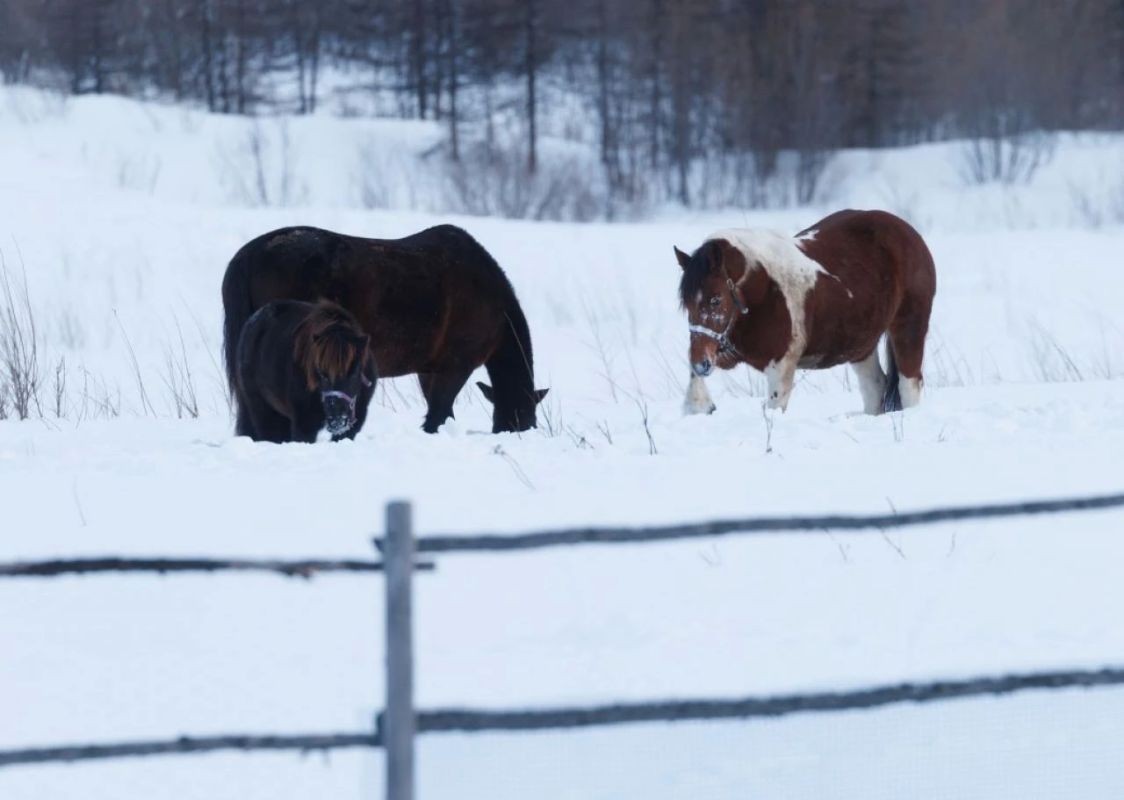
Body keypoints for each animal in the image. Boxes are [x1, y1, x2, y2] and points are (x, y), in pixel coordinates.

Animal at [234, 299, 377, 443]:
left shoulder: (358, 416)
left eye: (353, 373)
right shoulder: (304, 421)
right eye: (322, 374)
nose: (337, 420)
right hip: (261, 407)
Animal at [674, 209, 936, 416]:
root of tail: (909, 232)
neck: (763, 288)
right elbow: (694, 375)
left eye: (716, 299)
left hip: (908, 330)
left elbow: (774, 410)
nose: (702, 363)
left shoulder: (781, 367)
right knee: (875, 387)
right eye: (686, 303)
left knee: (909, 385)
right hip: (861, 345)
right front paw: (699, 405)